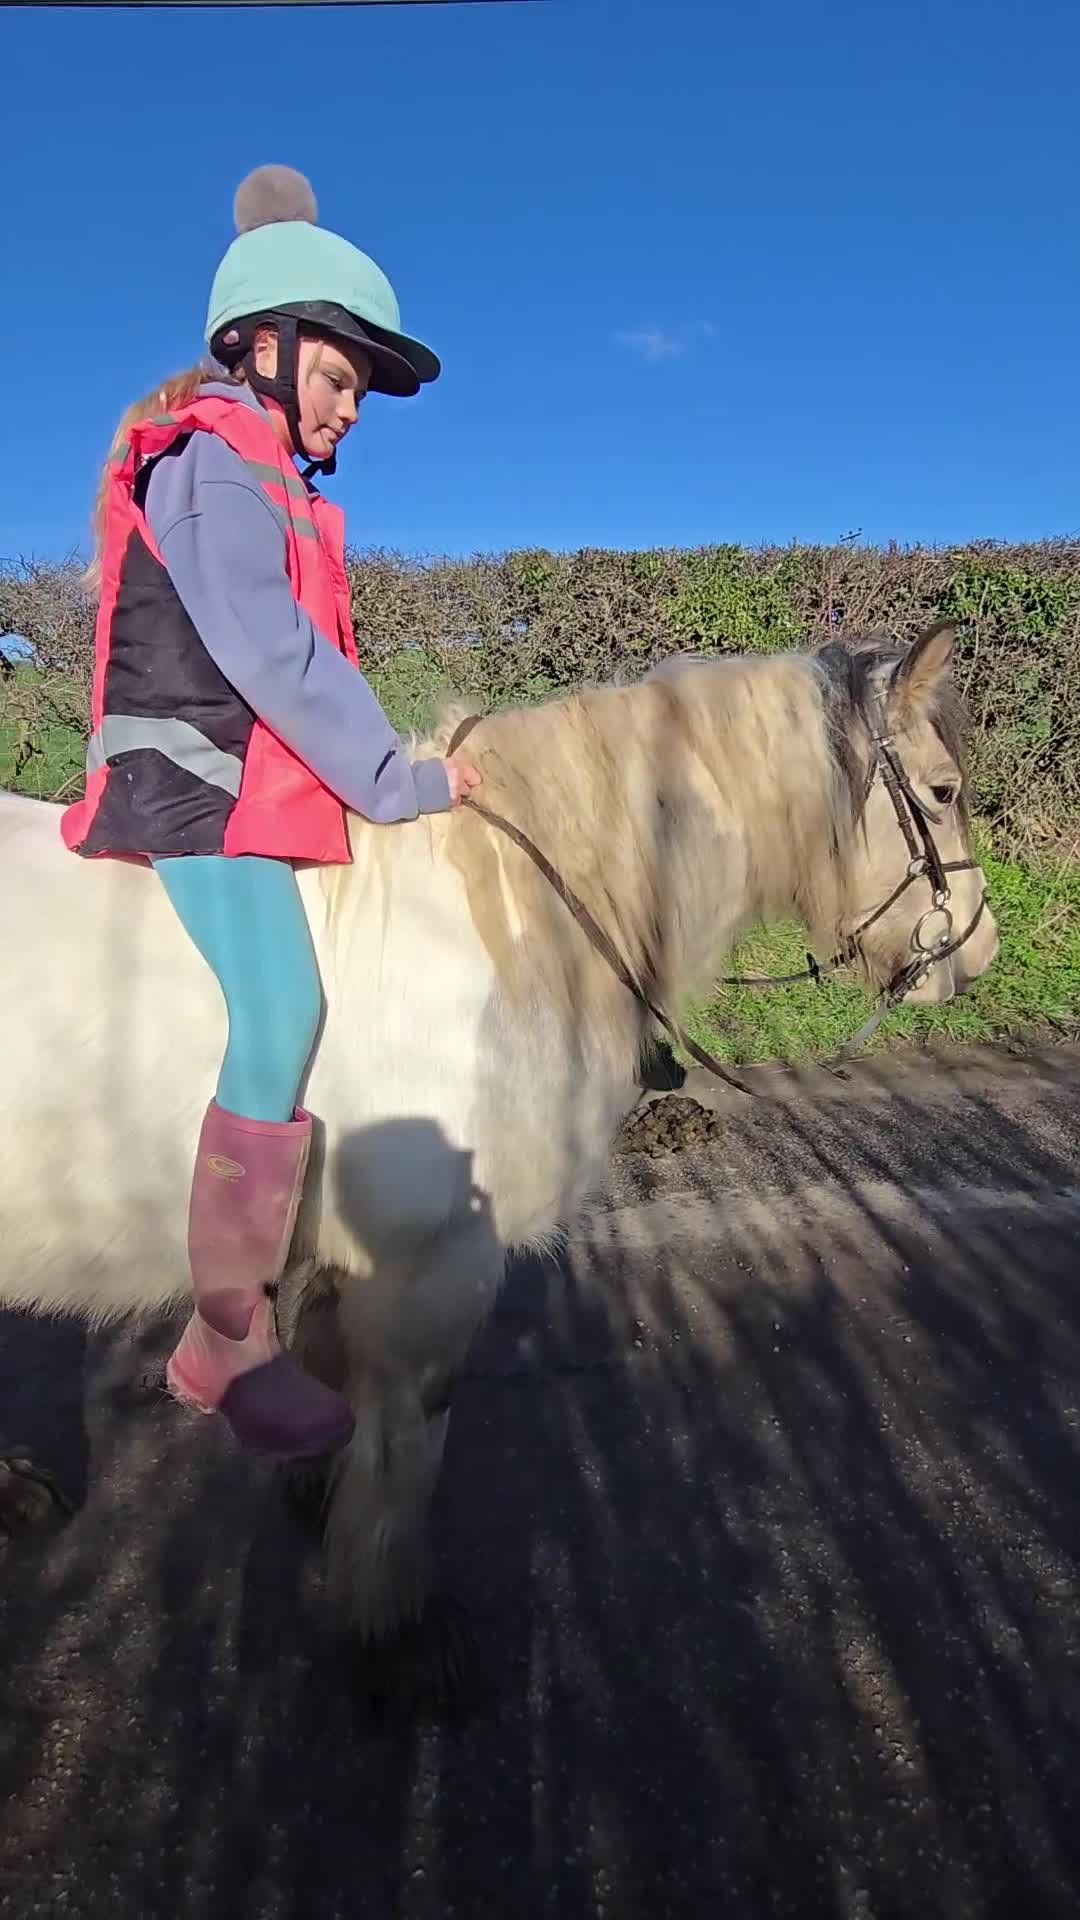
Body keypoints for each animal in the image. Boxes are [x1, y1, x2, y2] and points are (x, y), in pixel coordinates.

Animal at [0, 622, 998, 1681]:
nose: (978, 953)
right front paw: (392, 1622)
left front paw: (316, 1495)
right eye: (941, 792)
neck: (510, 919)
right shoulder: (435, 1266)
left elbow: (331, 1367)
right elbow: (409, 1441)